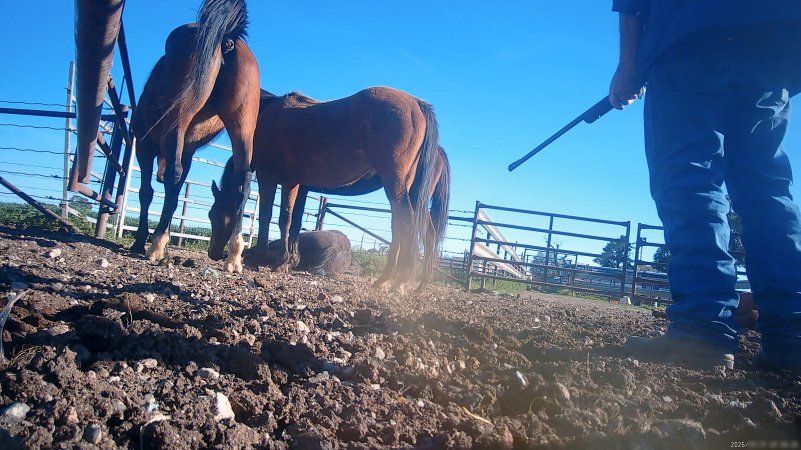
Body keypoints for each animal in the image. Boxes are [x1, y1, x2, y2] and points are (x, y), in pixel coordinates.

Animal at [129, 0, 260, 274]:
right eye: (211, 215)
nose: (215, 254)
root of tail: (227, 41)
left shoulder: (144, 147)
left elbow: (147, 192)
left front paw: (142, 241)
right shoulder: (187, 151)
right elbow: (175, 192)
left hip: (179, 115)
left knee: (172, 173)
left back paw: (155, 246)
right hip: (243, 126)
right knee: (243, 180)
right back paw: (234, 256)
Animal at [209, 88, 451, 293]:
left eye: (213, 215)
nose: (213, 253)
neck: (265, 116)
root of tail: (417, 104)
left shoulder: (269, 177)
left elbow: (270, 216)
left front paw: (263, 258)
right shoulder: (296, 183)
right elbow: (292, 220)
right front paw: (288, 261)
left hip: (398, 186)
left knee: (407, 224)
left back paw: (397, 280)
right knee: (413, 229)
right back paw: (402, 281)